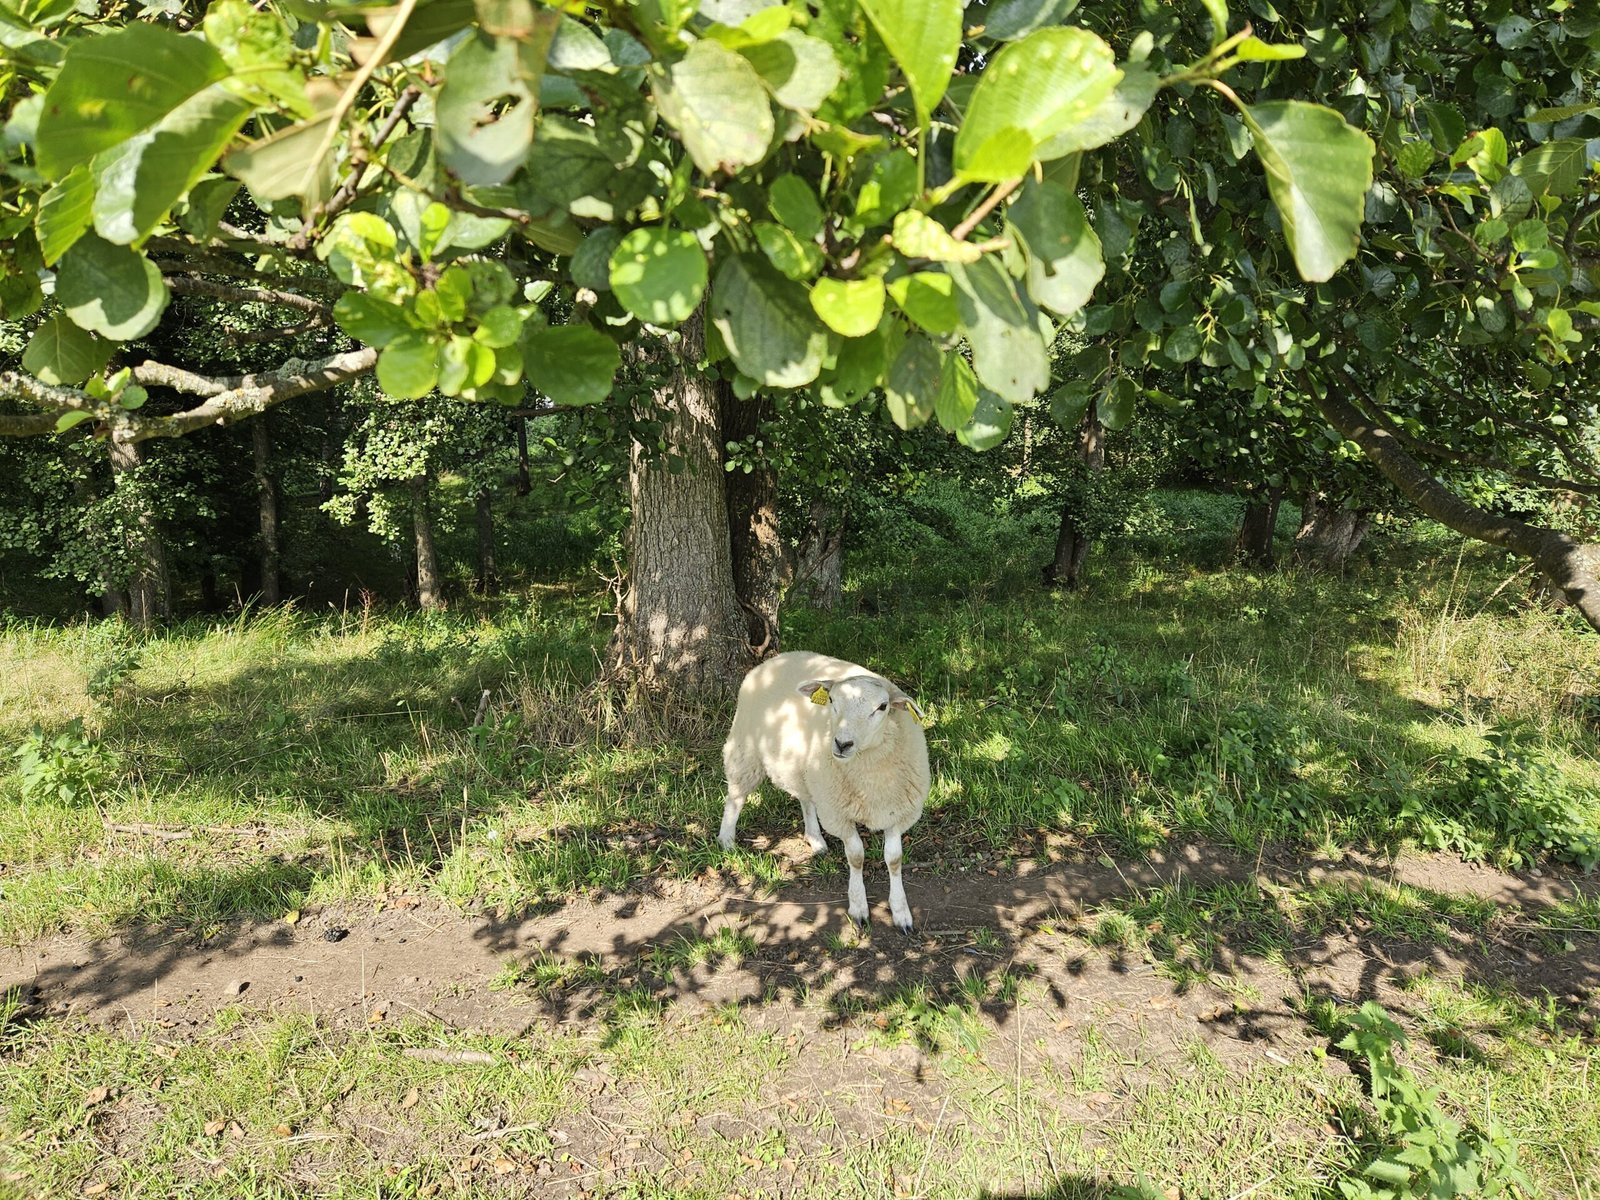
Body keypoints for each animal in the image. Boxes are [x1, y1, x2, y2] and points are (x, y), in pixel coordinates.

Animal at [719, 651, 929, 931]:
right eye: (831, 700)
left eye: (883, 707)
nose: (842, 744)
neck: (871, 780)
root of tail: (779, 657)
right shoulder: (839, 814)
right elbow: (856, 856)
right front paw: (859, 908)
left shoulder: (897, 812)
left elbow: (894, 859)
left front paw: (901, 912)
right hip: (746, 747)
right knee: (736, 796)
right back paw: (726, 840)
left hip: (806, 770)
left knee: (806, 800)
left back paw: (815, 839)